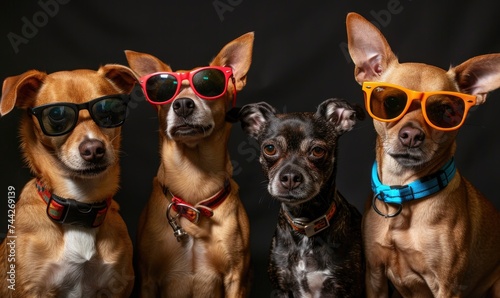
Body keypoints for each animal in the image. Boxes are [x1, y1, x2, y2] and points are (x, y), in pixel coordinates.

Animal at [0, 64, 137, 296]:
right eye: (56, 115)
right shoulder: (32, 289)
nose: (93, 149)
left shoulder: (116, 286)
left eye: (108, 110)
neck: (81, 204)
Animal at [125, 31, 254, 296]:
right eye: (165, 91)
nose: (183, 104)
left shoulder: (237, 278)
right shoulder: (148, 279)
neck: (194, 179)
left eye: (209, 85)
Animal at [240, 99, 366, 296]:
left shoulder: (348, 290)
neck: (305, 224)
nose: (290, 177)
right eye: (270, 148)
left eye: (317, 151)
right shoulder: (281, 289)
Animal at [346, 12, 500, 298]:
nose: (411, 135)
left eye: (445, 111)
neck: (404, 191)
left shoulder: (446, 286)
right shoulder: (374, 277)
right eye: (392, 102)